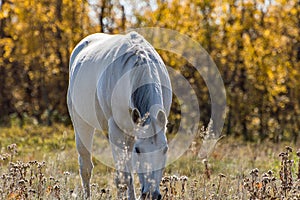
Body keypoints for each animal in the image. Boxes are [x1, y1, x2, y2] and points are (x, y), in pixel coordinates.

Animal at [67, 32, 172, 199]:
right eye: (138, 150)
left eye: (165, 149)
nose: (152, 195)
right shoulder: (117, 131)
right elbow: (124, 177)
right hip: (82, 124)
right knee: (85, 166)